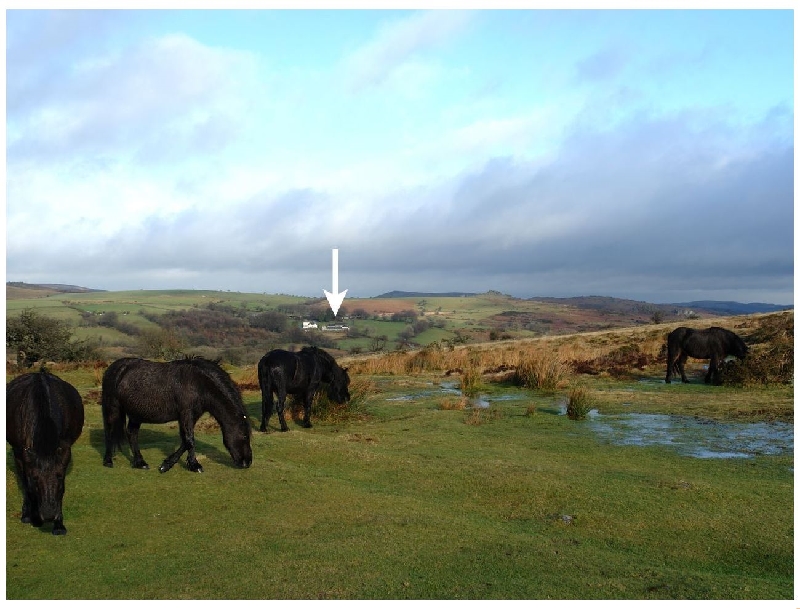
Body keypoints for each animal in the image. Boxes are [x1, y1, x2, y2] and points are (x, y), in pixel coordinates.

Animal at [6, 368, 84, 536]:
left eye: (59, 476)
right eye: (35, 478)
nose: (48, 515)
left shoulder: (64, 452)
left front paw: (59, 525)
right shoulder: (21, 453)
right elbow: (26, 484)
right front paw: (32, 517)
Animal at [100, 354, 252, 472]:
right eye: (245, 436)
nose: (247, 462)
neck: (199, 383)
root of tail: (114, 368)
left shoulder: (190, 416)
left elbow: (185, 441)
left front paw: (166, 465)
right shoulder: (186, 414)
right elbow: (190, 440)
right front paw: (195, 466)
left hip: (136, 414)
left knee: (132, 433)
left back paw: (140, 463)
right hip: (113, 408)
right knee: (109, 431)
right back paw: (108, 461)